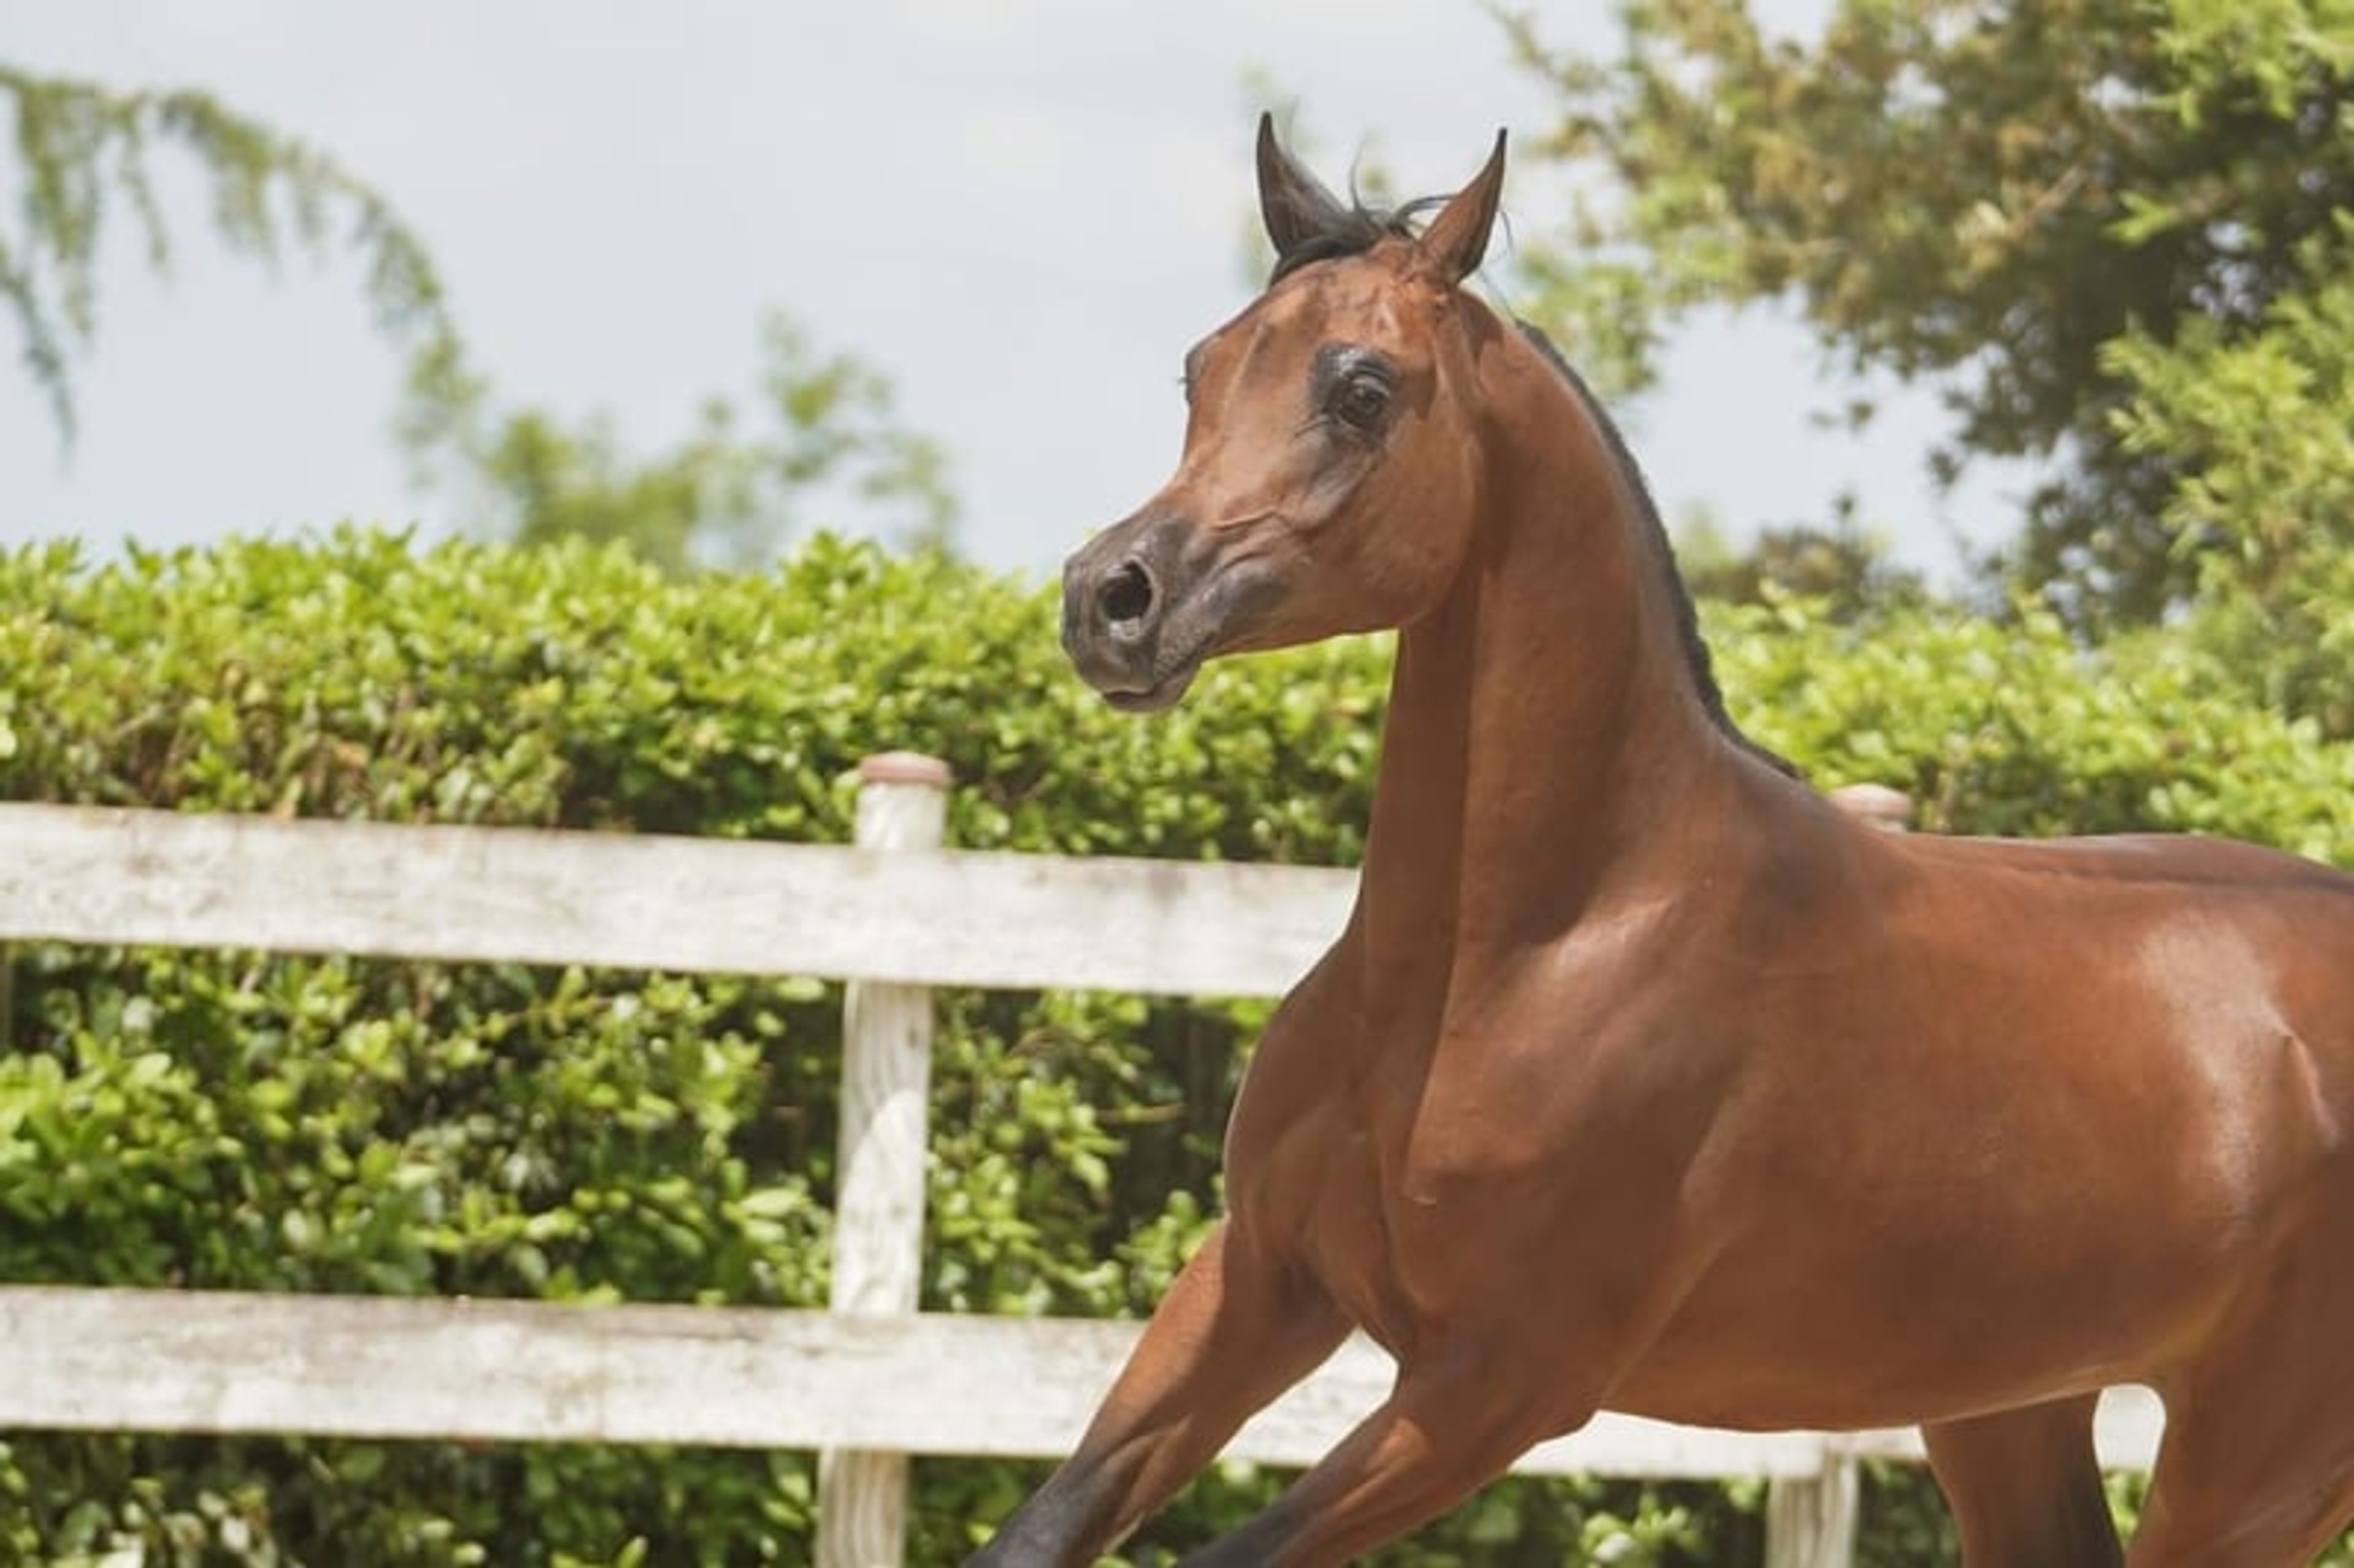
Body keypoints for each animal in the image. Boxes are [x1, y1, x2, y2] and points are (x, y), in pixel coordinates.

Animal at [970, 117, 2354, 1566]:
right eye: (1205, 365)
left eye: (1363, 390)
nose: (1114, 599)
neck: (1540, 948)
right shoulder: (1258, 1279)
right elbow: (1040, 1531)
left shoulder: (1492, 1390)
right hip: (2008, 1409)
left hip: (2253, 1474)